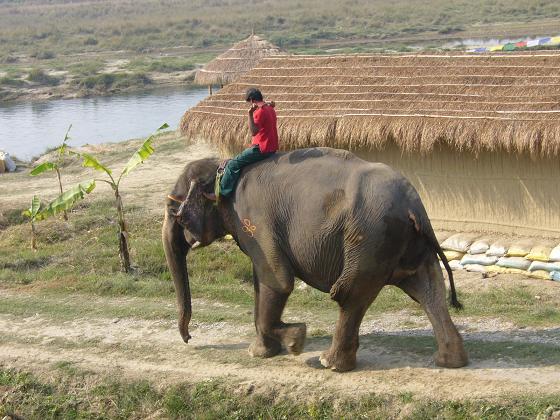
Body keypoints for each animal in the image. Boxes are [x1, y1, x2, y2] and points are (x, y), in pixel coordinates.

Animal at [161, 148, 468, 370]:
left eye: (174, 210)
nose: (189, 339)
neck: (222, 168)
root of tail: (414, 207)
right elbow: (262, 281)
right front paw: (261, 353)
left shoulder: (255, 221)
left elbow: (279, 281)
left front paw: (296, 341)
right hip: (401, 243)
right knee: (429, 290)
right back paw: (450, 362)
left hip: (368, 240)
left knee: (349, 294)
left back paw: (328, 363)